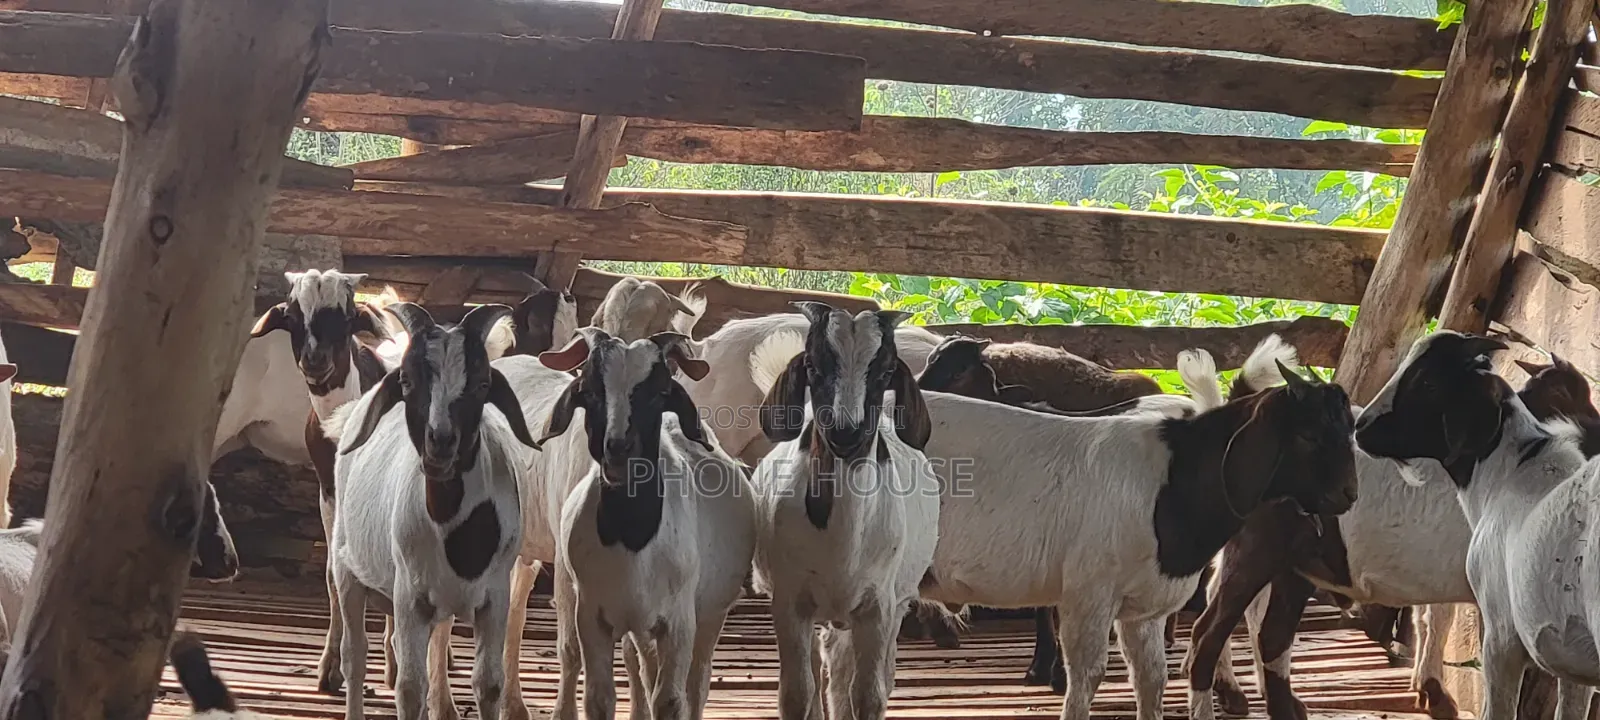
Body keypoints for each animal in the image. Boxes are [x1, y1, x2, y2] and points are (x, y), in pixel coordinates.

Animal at [321, 302, 538, 720]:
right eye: (406, 381)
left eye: (482, 384)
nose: (440, 442)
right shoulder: (411, 596)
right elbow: (409, 688)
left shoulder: (494, 598)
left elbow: (488, 684)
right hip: (348, 567)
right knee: (355, 657)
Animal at [533, 327, 754, 720]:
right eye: (590, 390)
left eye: (660, 392)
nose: (619, 449)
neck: (632, 538)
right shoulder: (593, 617)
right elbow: (600, 698)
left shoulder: (679, 623)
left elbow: (670, 700)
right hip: (639, 626)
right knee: (645, 673)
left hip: (710, 615)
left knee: (697, 684)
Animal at [747, 302, 941, 720]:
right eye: (813, 365)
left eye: (886, 370)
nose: (846, 433)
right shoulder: (790, 601)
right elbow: (796, 695)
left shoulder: (878, 606)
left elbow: (868, 695)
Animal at [913, 356, 1356, 720]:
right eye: (1307, 435)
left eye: (1350, 429)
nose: (1350, 494)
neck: (1173, 481)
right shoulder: (1089, 593)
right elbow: (1085, 679)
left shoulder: (1144, 606)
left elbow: (1151, 679)